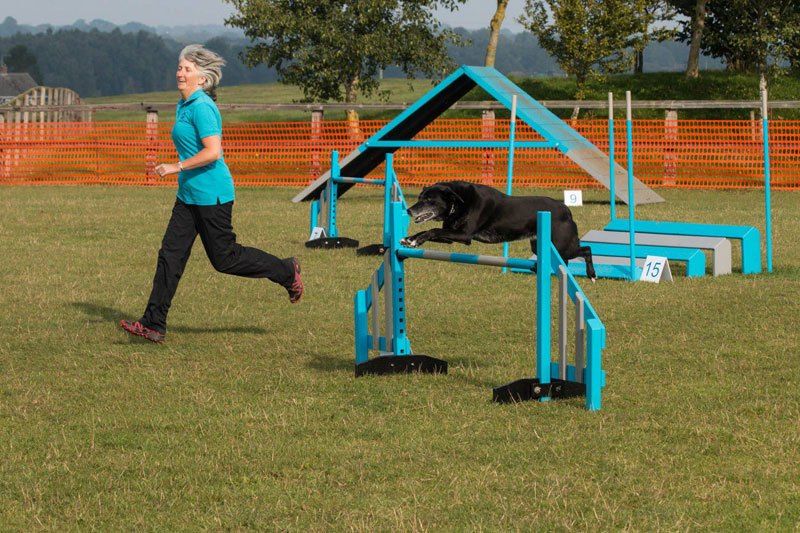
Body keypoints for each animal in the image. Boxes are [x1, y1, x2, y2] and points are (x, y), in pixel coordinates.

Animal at [404, 180, 596, 280]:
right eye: (419, 197)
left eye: (429, 200)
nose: (409, 210)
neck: (458, 202)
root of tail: (566, 209)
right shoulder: (451, 236)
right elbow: (430, 231)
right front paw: (410, 239)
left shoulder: (464, 236)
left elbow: (433, 230)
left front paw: (415, 240)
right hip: (539, 245)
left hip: (561, 246)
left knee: (586, 249)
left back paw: (592, 274)